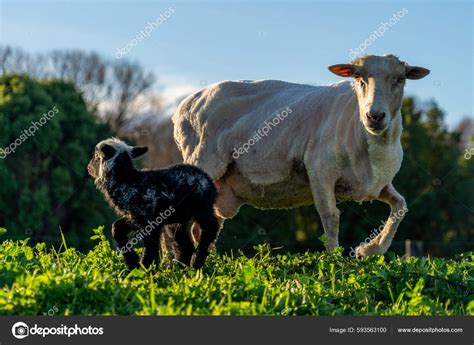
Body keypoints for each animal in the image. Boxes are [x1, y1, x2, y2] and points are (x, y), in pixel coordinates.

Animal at [87, 137, 220, 268]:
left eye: (95, 156)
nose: (88, 168)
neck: (127, 179)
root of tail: (209, 181)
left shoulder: (149, 220)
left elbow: (151, 248)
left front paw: (146, 268)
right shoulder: (136, 217)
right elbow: (117, 227)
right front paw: (133, 264)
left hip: (202, 207)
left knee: (211, 227)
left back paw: (197, 260)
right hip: (177, 220)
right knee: (186, 247)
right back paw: (181, 269)